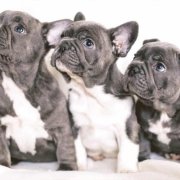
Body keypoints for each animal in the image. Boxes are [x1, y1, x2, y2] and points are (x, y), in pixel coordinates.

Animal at [0, 9, 77, 170]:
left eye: (19, 29)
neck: (18, 85)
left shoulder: (61, 128)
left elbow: (65, 148)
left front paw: (66, 168)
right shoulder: (1, 127)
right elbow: (2, 149)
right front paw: (4, 165)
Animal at [51, 17, 140, 173]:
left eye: (88, 43)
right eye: (62, 36)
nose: (63, 44)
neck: (91, 93)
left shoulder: (128, 128)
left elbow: (127, 151)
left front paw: (127, 170)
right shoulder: (74, 127)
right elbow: (78, 150)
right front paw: (80, 168)